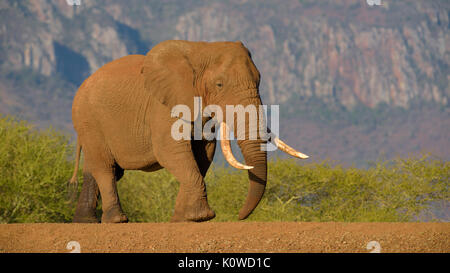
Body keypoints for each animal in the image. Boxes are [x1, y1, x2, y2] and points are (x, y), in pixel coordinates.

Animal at [69, 40, 310, 223]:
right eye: (219, 85)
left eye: (259, 81)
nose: (239, 216)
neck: (200, 50)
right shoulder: (163, 106)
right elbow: (171, 152)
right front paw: (201, 216)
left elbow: (203, 156)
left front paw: (182, 219)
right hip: (89, 120)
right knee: (105, 168)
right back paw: (116, 220)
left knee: (96, 168)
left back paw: (85, 222)